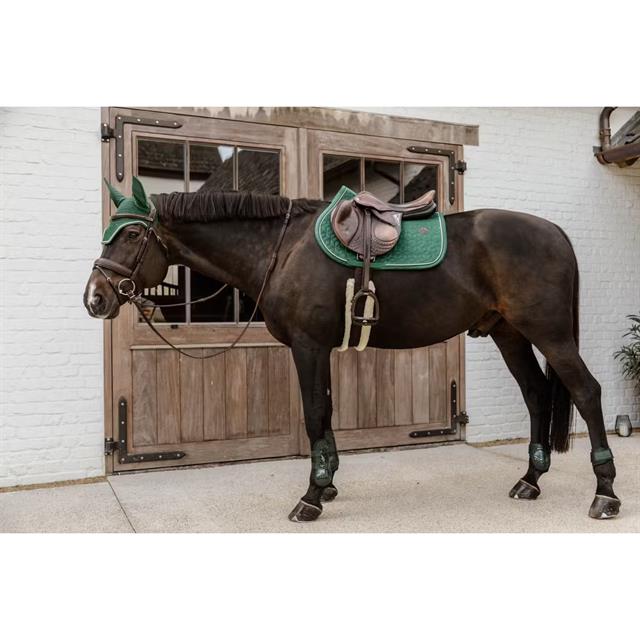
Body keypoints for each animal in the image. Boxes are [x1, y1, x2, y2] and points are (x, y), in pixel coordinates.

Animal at [83, 179, 621, 522]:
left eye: (130, 234)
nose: (95, 298)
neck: (284, 249)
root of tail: (554, 232)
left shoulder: (307, 346)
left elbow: (314, 413)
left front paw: (311, 497)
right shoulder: (318, 349)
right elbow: (325, 411)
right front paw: (327, 483)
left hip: (549, 333)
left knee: (587, 392)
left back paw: (605, 492)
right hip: (510, 334)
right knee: (536, 395)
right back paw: (530, 480)